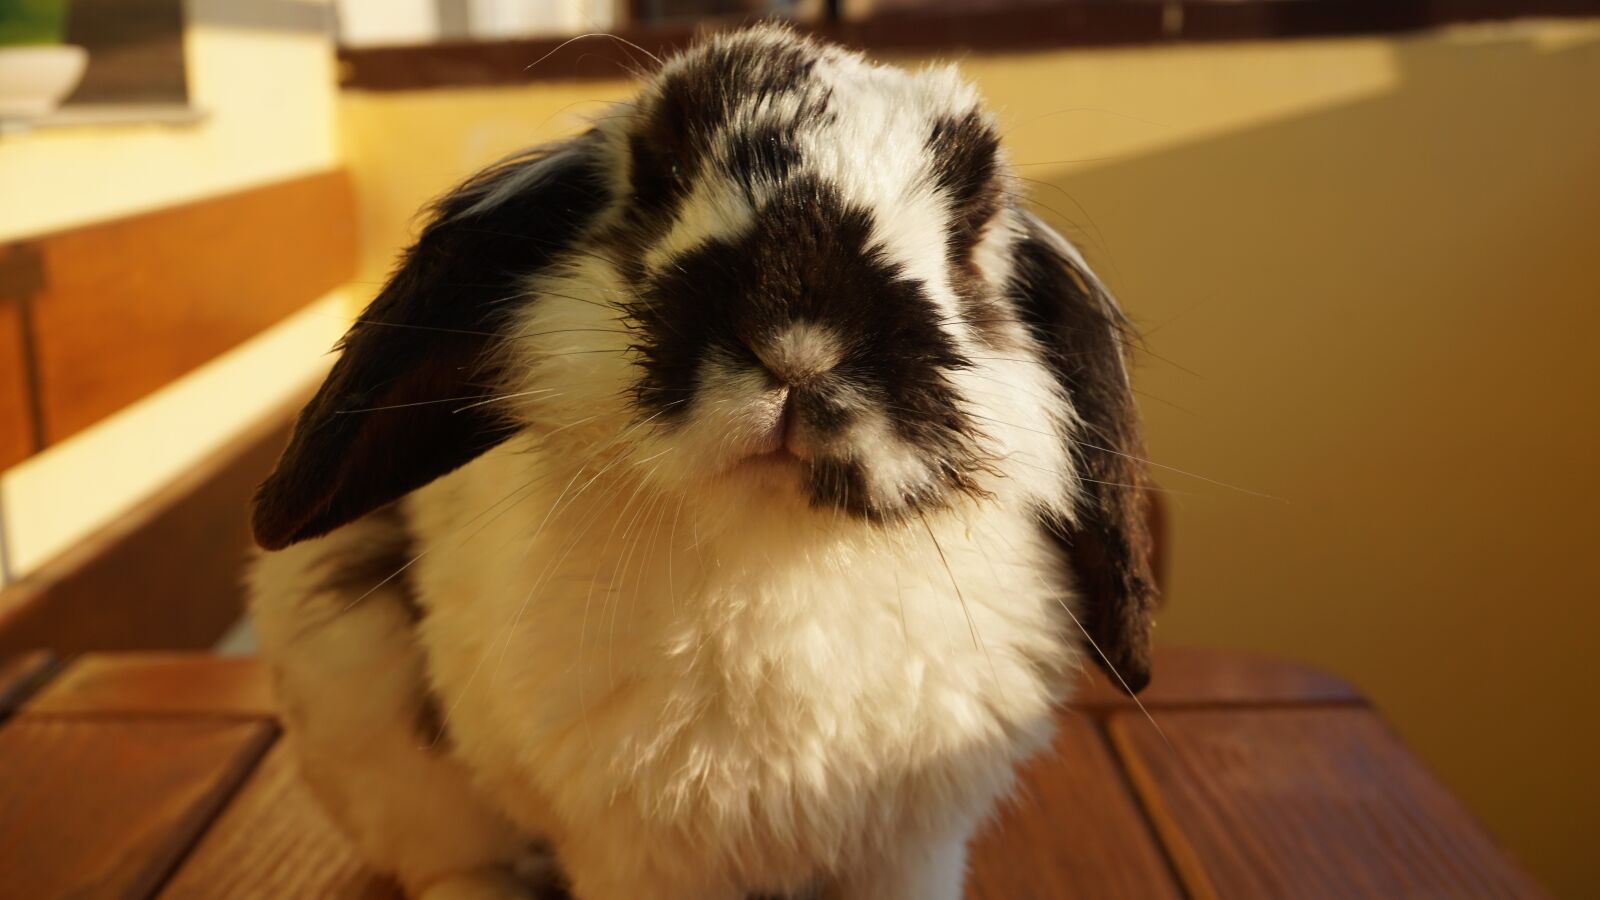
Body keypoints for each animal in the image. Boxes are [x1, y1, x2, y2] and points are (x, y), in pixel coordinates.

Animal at [248, 24, 1157, 900]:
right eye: (664, 175)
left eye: (967, 230)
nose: (799, 339)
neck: (777, 548)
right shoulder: (638, 856)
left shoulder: (912, 850)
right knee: (452, 860)